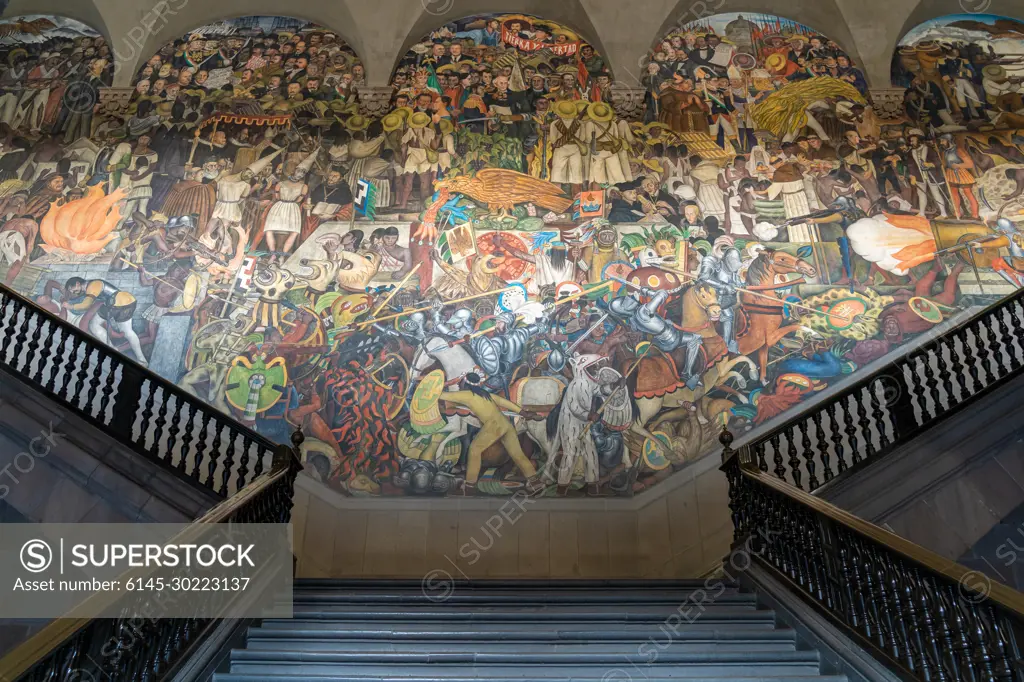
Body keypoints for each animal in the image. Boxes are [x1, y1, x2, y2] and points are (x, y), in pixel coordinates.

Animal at [737, 248, 815, 382]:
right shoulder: (770, 338)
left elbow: (763, 365)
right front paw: (813, 332)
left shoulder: (763, 345)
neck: (760, 299)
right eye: (782, 259)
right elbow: (793, 326)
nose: (810, 269)